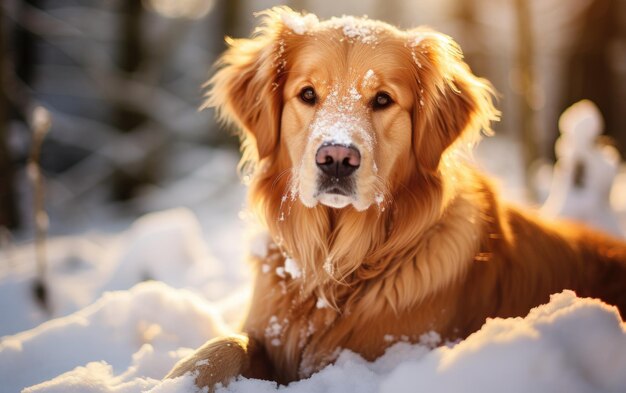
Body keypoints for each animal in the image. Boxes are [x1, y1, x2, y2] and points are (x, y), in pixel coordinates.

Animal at [165, 7, 624, 390]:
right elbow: (226, 344)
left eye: (383, 99)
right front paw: (177, 380)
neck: (336, 269)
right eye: (308, 94)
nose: (337, 159)